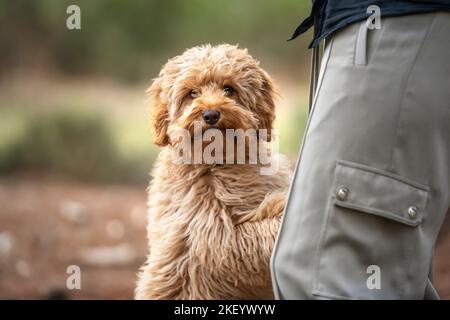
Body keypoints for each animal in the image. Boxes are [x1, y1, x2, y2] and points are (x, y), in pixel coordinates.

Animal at [135, 43, 292, 298]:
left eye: (229, 89)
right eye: (192, 93)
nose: (210, 114)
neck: (217, 163)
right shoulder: (216, 238)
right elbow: (264, 227)